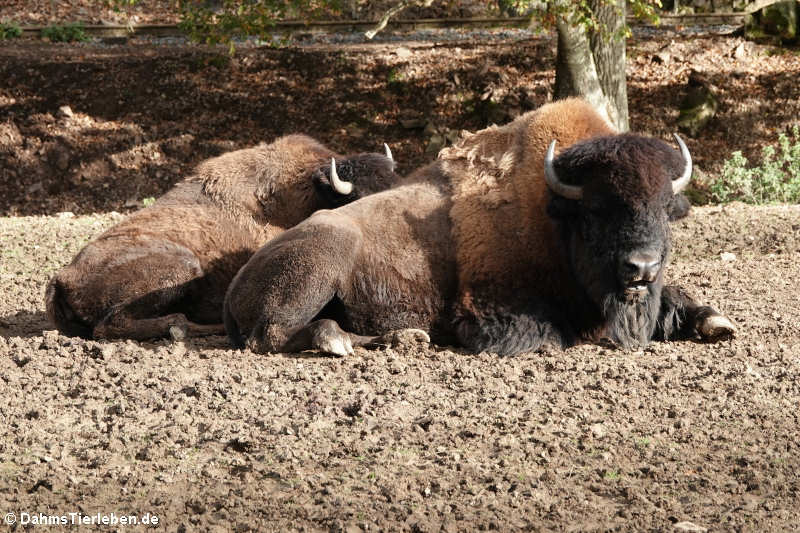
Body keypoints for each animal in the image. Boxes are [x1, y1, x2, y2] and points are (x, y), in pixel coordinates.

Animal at [224, 99, 735, 356]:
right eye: (595, 209)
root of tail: (235, 285)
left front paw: (717, 321)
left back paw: (405, 338)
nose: (641, 268)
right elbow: (547, 331)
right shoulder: (486, 311)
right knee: (275, 334)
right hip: (318, 267)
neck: (551, 213)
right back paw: (346, 341)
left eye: (665, 207)